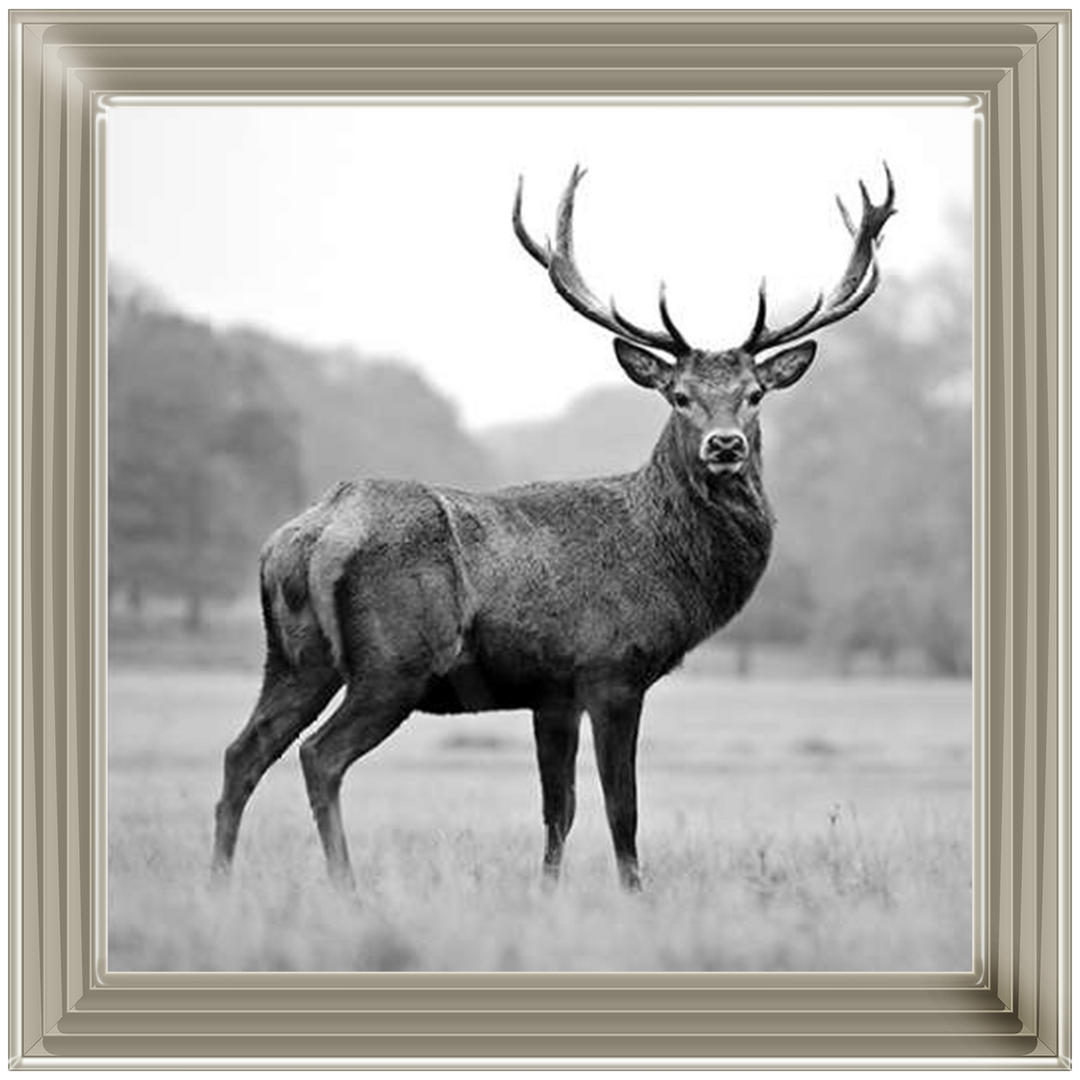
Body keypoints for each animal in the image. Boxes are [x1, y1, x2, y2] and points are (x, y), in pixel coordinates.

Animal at [211, 165, 896, 892]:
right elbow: (622, 807)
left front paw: (547, 892)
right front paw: (635, 895)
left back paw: (219, 880)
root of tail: (310, 534)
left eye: (755, 394)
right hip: (394, 661)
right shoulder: (612, 669)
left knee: (242, 752)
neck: (667, 563)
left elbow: (557, 809)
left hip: (294, 656)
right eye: (678, 396)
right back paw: (346, 887)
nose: (725, 446)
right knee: (319, 755)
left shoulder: (552, 692)